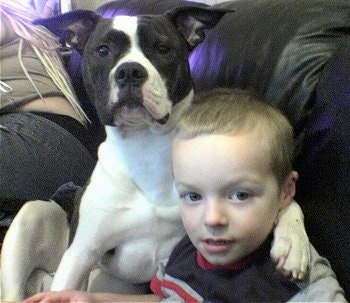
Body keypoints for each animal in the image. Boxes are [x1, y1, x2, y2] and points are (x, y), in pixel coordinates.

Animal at [0, 5, 308, 302]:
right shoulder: (81, 254)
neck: (145, 144)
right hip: (34, 215)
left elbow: (286, 199)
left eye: (162, 48)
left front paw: (293, 241)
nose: (129, 71)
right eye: (103, 50)